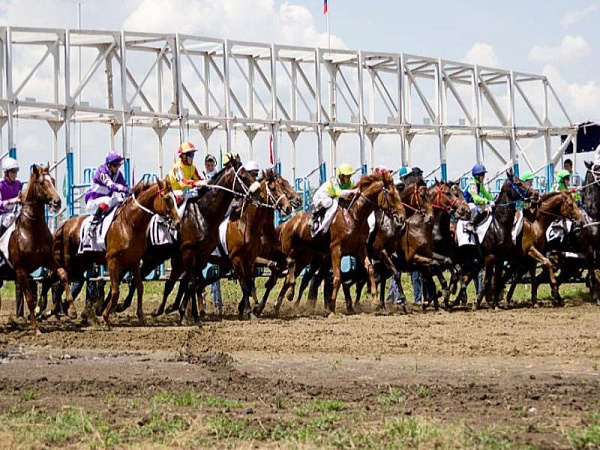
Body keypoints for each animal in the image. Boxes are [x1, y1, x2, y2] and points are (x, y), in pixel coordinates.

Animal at [0, 164, 69, 334]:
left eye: (53, 180)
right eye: (42, 183)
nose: (57, 202)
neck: (31, 229)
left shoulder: (48, 259)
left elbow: (63, 274)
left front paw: (70, 307)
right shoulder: (20, 270)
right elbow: (30, 298)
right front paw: (36, 328)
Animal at [273, 172, 405, 316]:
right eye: (391, 194)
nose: (402, 217)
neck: (354, 216)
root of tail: (286, 224)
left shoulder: (360, 249)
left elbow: (370, 269)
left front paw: (375, 303)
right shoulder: (337, 250)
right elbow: (337, 278)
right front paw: (331, 308)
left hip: (306, 257)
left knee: (293, 278)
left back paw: (281, 304)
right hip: (296, 256)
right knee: (297, 277)